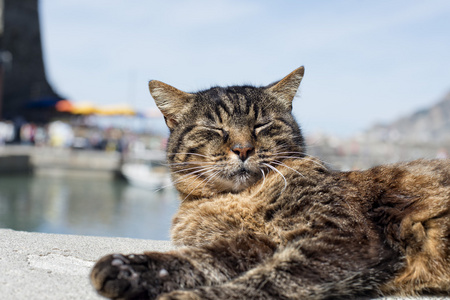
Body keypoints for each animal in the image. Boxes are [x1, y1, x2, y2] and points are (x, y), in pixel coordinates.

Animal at [89, 67, 448, 298]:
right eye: (215, 128)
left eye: (261, 124)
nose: (243, 149)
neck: (239, 198)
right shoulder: (251, 244)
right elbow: (198, 260)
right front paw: (130, 268)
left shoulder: (345, 238)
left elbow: (269, 281)